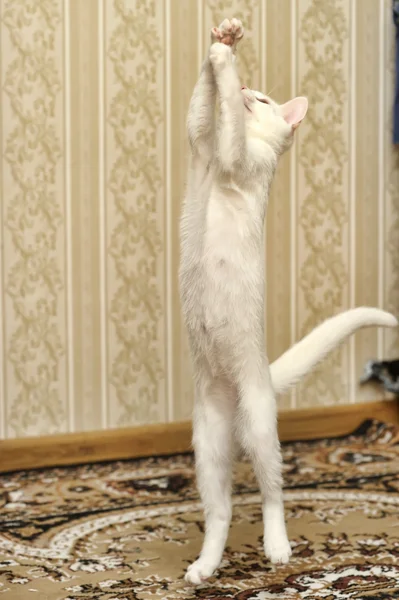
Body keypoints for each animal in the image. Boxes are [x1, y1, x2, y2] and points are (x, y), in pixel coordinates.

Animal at [180, 18, 396, 584]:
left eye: (264, 99)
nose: (249, 91)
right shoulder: (199, 143)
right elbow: (201, 110)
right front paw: (220, 46)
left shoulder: (235, 157)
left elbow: (228, 127)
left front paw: (225, 58)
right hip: (207, 446)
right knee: (221, 510)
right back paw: (205, 566)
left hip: (259, 426)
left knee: (272, 492)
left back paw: (277, 548)